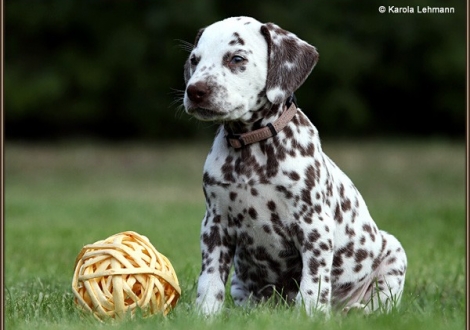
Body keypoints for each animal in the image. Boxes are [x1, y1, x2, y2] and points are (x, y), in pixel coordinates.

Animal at [182, 16, 406, 316]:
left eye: (236, 58)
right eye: (194, 60)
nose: (194, 91)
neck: (252, 147)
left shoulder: (314, 226)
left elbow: (314, 281)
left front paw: (310, 315)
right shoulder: (215, 225)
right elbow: (210, 279)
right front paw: (206, 315)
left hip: (393, 253)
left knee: (380, 303)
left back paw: (356, 311)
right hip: (241, 281)